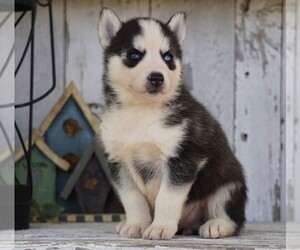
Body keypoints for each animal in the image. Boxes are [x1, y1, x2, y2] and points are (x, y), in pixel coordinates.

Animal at [98, 7, 246, 240]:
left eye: (168, 57)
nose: (157, 77)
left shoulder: (184, 158)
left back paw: (217, 224)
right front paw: (136, 224)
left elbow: (166, 198)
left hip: (229, 184)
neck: (141, 111)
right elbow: (132, 199)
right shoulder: (119, 163)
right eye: (134, 55)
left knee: (231, 215)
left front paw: (160, 227)